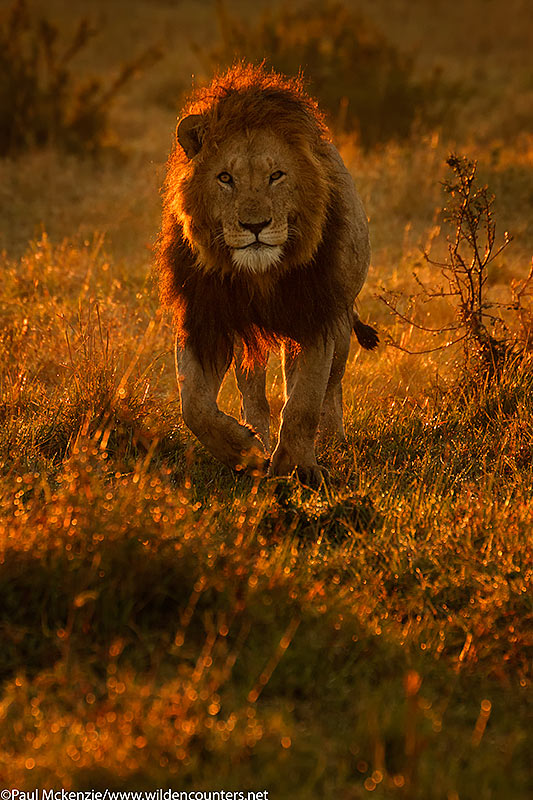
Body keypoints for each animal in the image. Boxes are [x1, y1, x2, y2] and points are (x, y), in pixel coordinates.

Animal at [156, 62, 376, 484]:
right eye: (225, 178)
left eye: (276, 176)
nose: (254, 225)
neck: (258, 275)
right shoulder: (203, 319)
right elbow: (194, 404)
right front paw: (245, 451)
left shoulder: (316, 318)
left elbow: (304, 402)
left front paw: (298, 468)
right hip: (248, 341)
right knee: (252, 392)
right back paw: (256, 431)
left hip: (341, 321)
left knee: (331, 386)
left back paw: (332, 439)